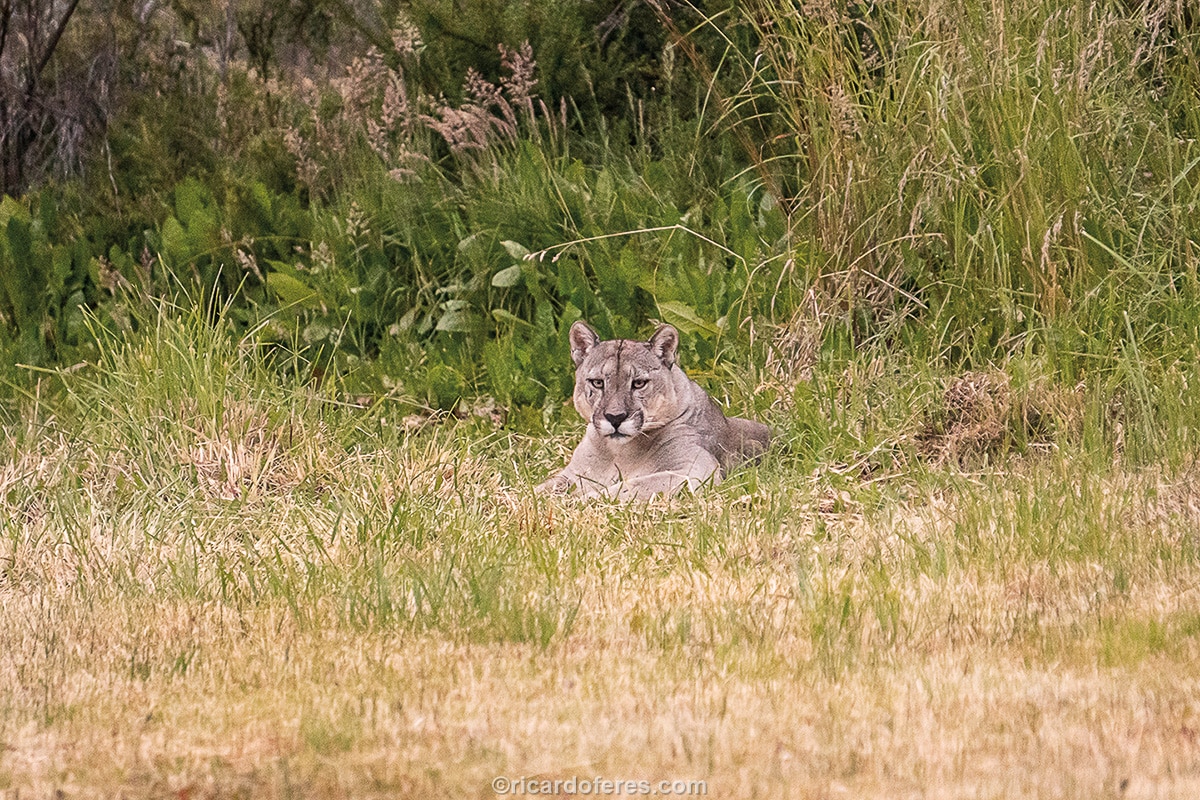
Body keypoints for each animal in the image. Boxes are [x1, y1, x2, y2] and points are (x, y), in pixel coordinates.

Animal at [535, 321, 771, 500]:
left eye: (639, 383)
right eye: (598, 382)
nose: (615, 417)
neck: (618, 452)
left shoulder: (694, 469)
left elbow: (632, 486)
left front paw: (576, 502)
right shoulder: (573, 473)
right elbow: (541, 487)